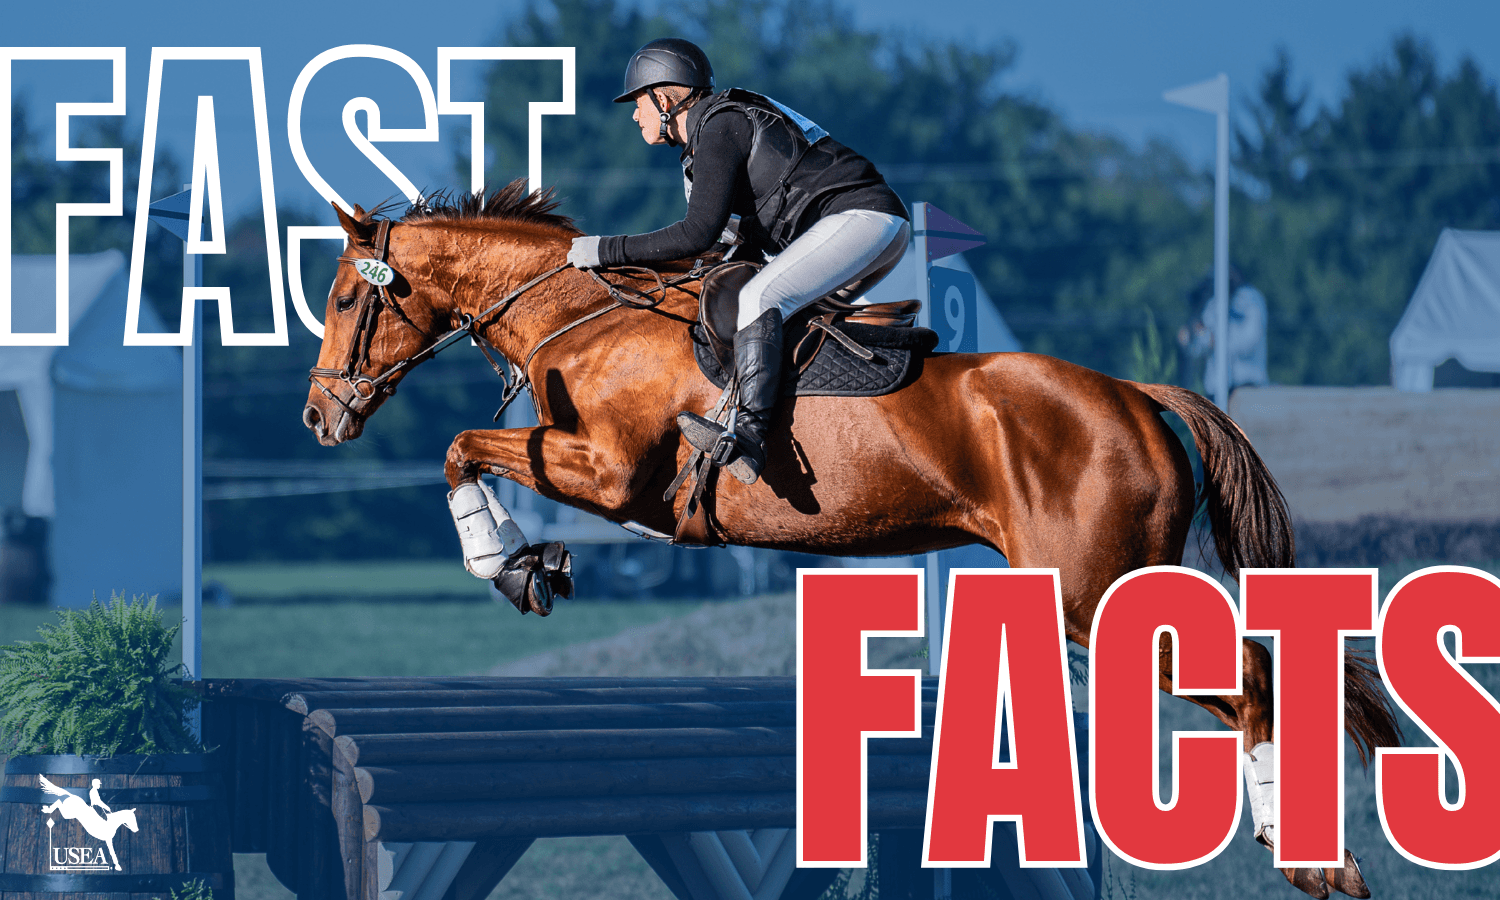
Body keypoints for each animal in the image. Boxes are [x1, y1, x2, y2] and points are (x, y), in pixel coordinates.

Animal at [302, 181, 1399, 898]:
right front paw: (532, 562)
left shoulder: (611, 476)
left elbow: (461, 448)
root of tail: (1136, 395)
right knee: (1261, 672)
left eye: (349, 298)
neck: (582, 317)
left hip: (1096, 591)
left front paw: (511, 564)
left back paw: (1313, 858)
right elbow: (473, 450)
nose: (318, 419)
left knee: (1249, 681)